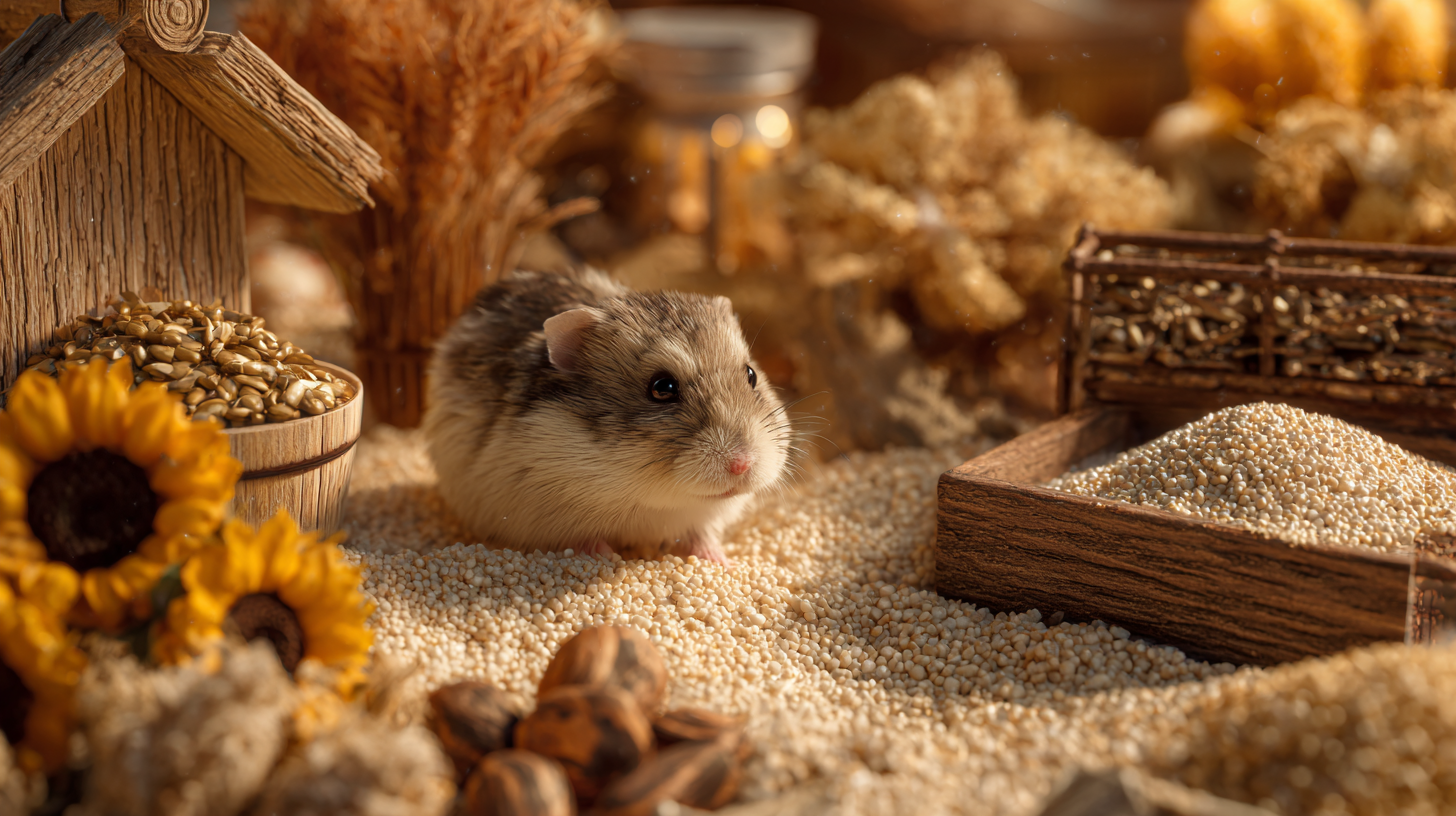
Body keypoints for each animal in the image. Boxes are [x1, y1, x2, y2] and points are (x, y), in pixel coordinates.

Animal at [422, 268, 792, 564]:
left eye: (751, 375)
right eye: (662, 387)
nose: (742, 464)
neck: (643, 496)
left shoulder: (704, 517)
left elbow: (701, 535)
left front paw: (722, 562)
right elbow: (582, 539)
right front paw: (607, 557)